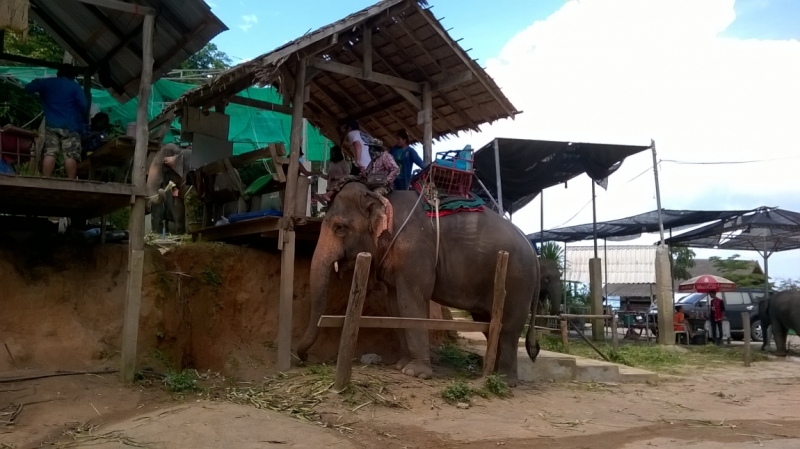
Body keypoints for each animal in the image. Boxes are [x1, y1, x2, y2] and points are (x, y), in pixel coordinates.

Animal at [296, 180, 544, 384]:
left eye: (340, 228)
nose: (303, 358)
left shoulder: (414, 251)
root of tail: (533, 249)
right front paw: (401, 366)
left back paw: (504, 381)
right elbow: (395, 305)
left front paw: (415, 373)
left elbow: (412, 301)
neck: (381, 198)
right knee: (490, 323)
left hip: (518, 279)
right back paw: (492, 373)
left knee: (509, 327)